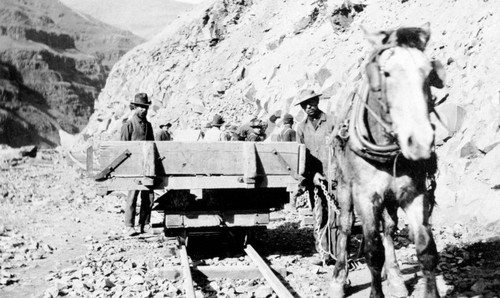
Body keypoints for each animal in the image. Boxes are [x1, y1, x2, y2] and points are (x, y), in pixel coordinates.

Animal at [328, 23, 446, 298]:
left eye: (429, 73)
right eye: (387, 73)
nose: (420, 141)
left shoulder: (414, 193)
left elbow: (426, 250)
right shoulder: (365, 197)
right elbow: (373, 251)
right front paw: (374, 291)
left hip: (391, 197)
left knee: (390, 228)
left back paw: (394, 277)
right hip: (344, 187)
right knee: (345, 226)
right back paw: (339, 279)